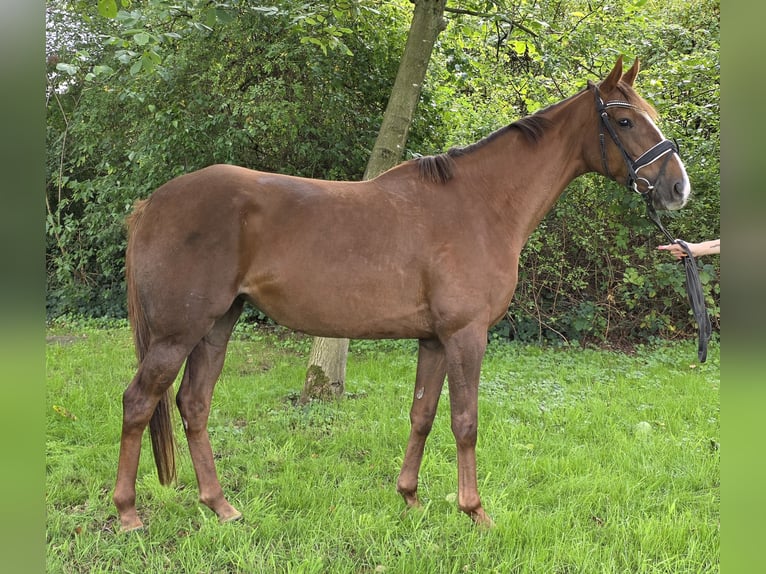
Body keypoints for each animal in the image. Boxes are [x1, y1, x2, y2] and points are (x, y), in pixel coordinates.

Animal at [113, 56, 690, 531]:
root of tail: (151, 204)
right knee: (139, 402)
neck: (480, 204)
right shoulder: (466, 336)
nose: (678, 188)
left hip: (217, 324)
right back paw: (127, 513)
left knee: (194, 404)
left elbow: (423, 415)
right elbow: (465, 422)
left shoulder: (433, 340)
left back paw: (220, 505)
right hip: (176, 334)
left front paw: (410, 497)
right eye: (624, 121)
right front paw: (474, 510)